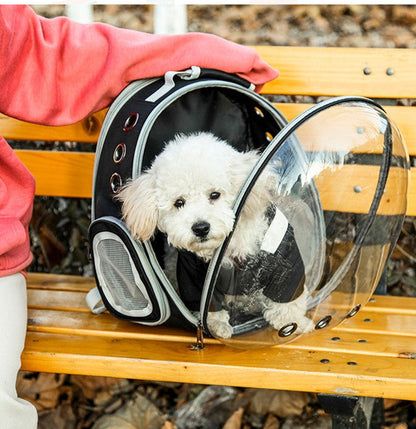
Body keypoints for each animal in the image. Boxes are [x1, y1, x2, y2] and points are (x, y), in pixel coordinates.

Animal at [118, 132, 314, 340]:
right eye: (179, 202)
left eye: (215, 194)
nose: (200, 227)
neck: (230, 245)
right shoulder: (193, 275)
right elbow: (207, 304)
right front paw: (216, 326)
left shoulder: (286, 262)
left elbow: (287, 297)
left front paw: (294, 323)